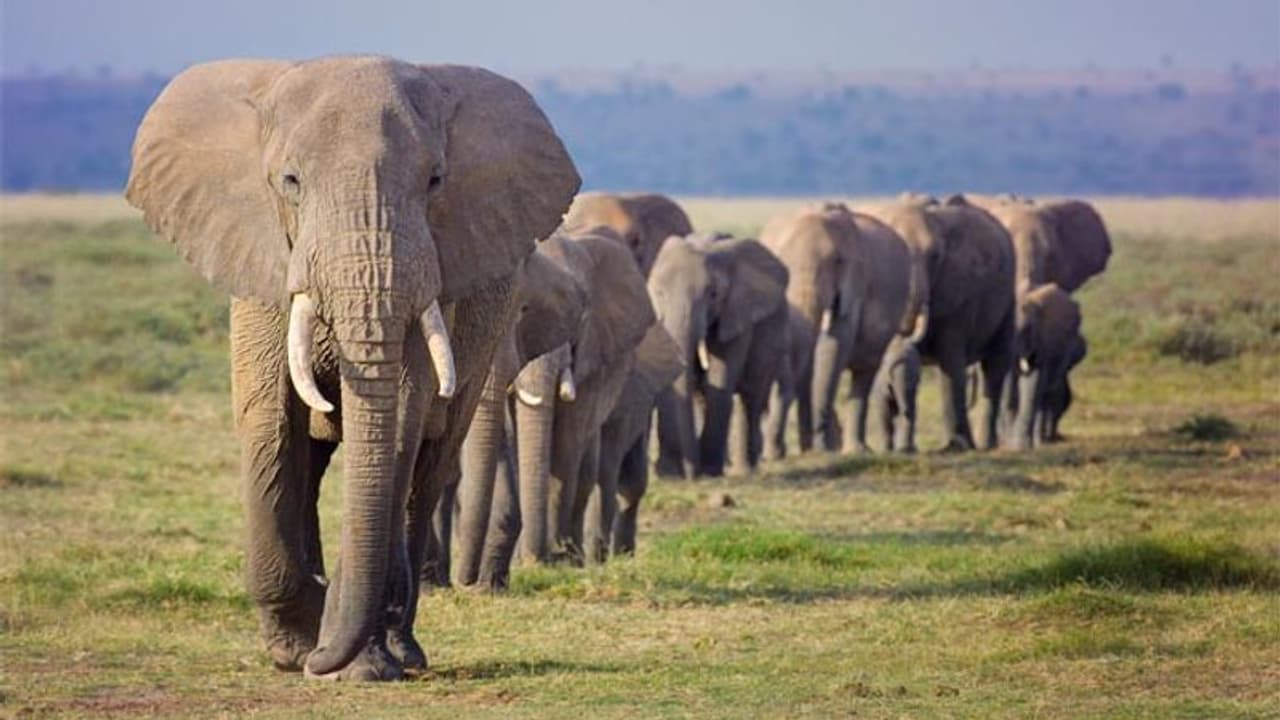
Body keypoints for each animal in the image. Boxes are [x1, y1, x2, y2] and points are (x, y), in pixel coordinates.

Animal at [124, 57, 579, 680]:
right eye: (290, 181)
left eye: (435, 181)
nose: (319, 656)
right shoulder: (263, 258)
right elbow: (268, 421)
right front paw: (297, 645)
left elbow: (399, 426)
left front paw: (347, 659)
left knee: (428, 469)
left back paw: (401, 649)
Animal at [650, 233, 790, 478]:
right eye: (659, 293)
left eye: (712, 294)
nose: (688, 474)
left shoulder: (737, 313)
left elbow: (719, 377)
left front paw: (708, 471)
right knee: (705, 395)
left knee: (751, 396)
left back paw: (745, 469)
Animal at [760, 203, 917, 457]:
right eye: (782, 264)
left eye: (837, 262)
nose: (774, 454)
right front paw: (809, 450)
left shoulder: (855, 284)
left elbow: (836, 341)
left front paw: (821, 449)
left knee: (864, 373)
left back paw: (856, 450)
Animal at [862, 199, 1017, 451]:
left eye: (935, 256)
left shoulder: (959, 291)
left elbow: (951, 362)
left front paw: (955, 448)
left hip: (1007, 301)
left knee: (995, 366)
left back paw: (986, 445)